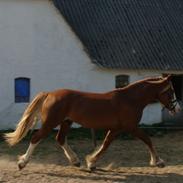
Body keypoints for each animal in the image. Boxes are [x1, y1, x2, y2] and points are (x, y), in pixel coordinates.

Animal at [4, 74, 182, 170]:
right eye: (171, 91)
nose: (177, 108)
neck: (130, 99)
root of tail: (50, 94)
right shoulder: (131, 127)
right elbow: (147, 139)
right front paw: (158, 161)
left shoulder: (116, 129)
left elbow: (105, 145)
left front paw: (91, 162)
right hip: (51, 122)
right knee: (36, 138)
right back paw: (22, 163)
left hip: (66, 122)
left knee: (60, 139)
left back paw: (76, 161)